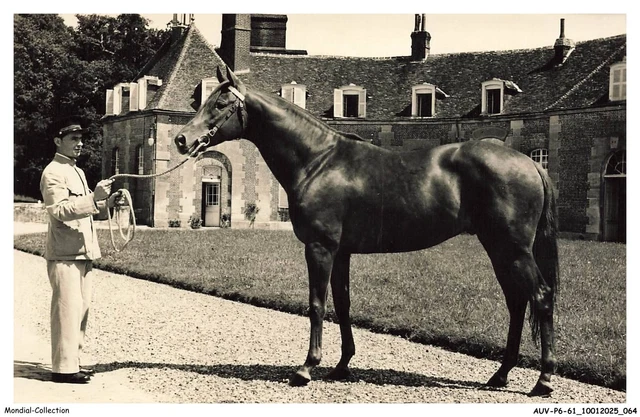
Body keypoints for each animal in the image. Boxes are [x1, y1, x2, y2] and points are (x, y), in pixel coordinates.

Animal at [174, 66, 559, 397]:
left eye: (220, 103)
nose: (181, 139)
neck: (318, 161)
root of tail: (530, 164)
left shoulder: (320, 248)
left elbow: (317, 304)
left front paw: (307, 368)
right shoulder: (341, 251)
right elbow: (343, 304)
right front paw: (342, 365)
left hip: (512, 249)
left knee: (540, 297)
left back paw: (543, 380)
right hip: (499, 249)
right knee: (517, 302)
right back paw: (500, 375)